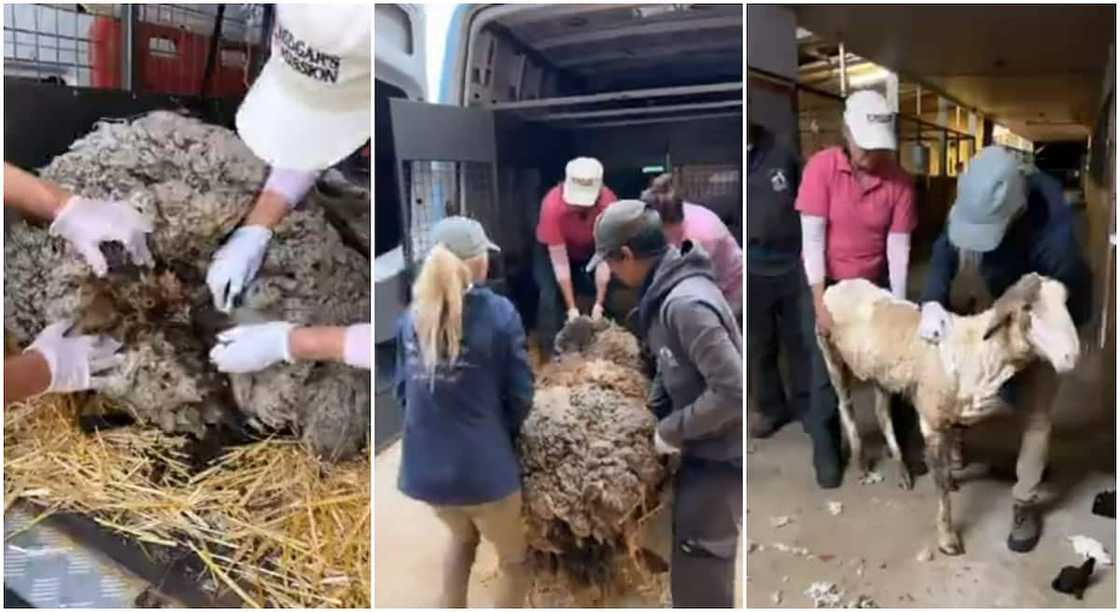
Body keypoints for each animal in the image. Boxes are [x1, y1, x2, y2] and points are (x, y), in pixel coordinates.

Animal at [819, 273, 1079, 555]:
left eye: (1065, 301)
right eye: (1028, 308)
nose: (1071, 356)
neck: (978, 351)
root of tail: (840, 284)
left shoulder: (952, 413)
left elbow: (950, 452)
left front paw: (953, 481)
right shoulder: (931, 423)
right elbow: (941, 484)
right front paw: (948, 539)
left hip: (882, 374)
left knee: (882, 414)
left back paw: (902, 471)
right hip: (830, 353)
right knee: (845, 406)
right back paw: (863, 466)